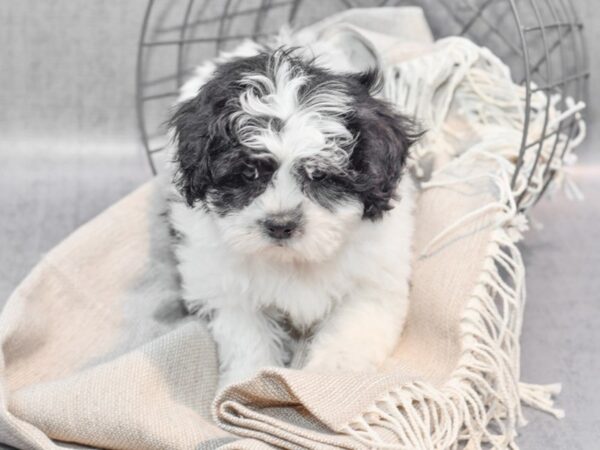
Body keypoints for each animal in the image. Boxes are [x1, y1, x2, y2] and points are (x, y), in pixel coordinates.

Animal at [166, 44, 414, 386]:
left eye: (319, 175)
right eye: (249, 173)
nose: (281, 225)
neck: (292, 261)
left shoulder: (374, 278)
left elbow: (353, 327)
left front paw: (332, 374)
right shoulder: (226, 286)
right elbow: (246, 334)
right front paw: (247, 381)